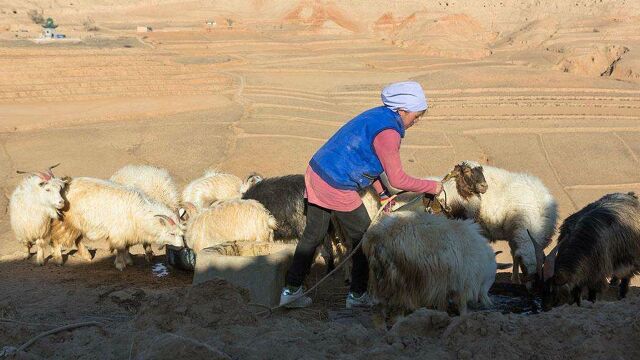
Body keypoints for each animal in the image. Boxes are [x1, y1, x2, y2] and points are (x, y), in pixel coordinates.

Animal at [52, 177, 185, 270]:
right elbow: (121, 249)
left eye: (181, 233)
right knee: (58, 239)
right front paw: (120, 265)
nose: (181, 247)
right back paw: (58, 260)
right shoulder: (119, 233)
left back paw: (87, 256)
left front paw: (129, 261)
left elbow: (126, 248)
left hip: (79, 224)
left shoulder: (128, 233)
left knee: (78, 239)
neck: (139, 212)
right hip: (67, 222)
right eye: (171, 233)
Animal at [364, 210, 496, 322]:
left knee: (383, 305)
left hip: (381, 276)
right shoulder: (462, 283)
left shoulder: (445, 284)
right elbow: (462, 306)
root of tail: (377, 235)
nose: (491, 304)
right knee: (398, 304)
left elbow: (444, 303)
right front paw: (462, 317)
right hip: (400, 278)